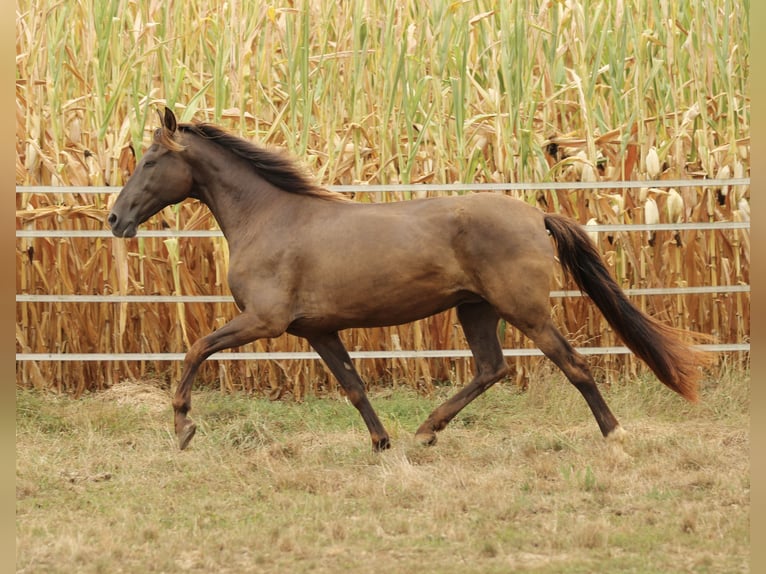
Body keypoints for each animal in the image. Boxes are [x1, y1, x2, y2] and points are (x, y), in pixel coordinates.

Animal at [106, 106, 708, 452]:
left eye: (152, 160)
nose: (114, 219)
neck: (269, 216)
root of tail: (536, 215)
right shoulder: (316, 330)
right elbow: (353, 385)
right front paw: (381, 442)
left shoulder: (264, 322)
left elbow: (195, 349)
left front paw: (183, 428)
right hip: (475, 308)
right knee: (492, 368)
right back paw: (426, 430)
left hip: (526, 310)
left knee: (573, 364)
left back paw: (614, 434)